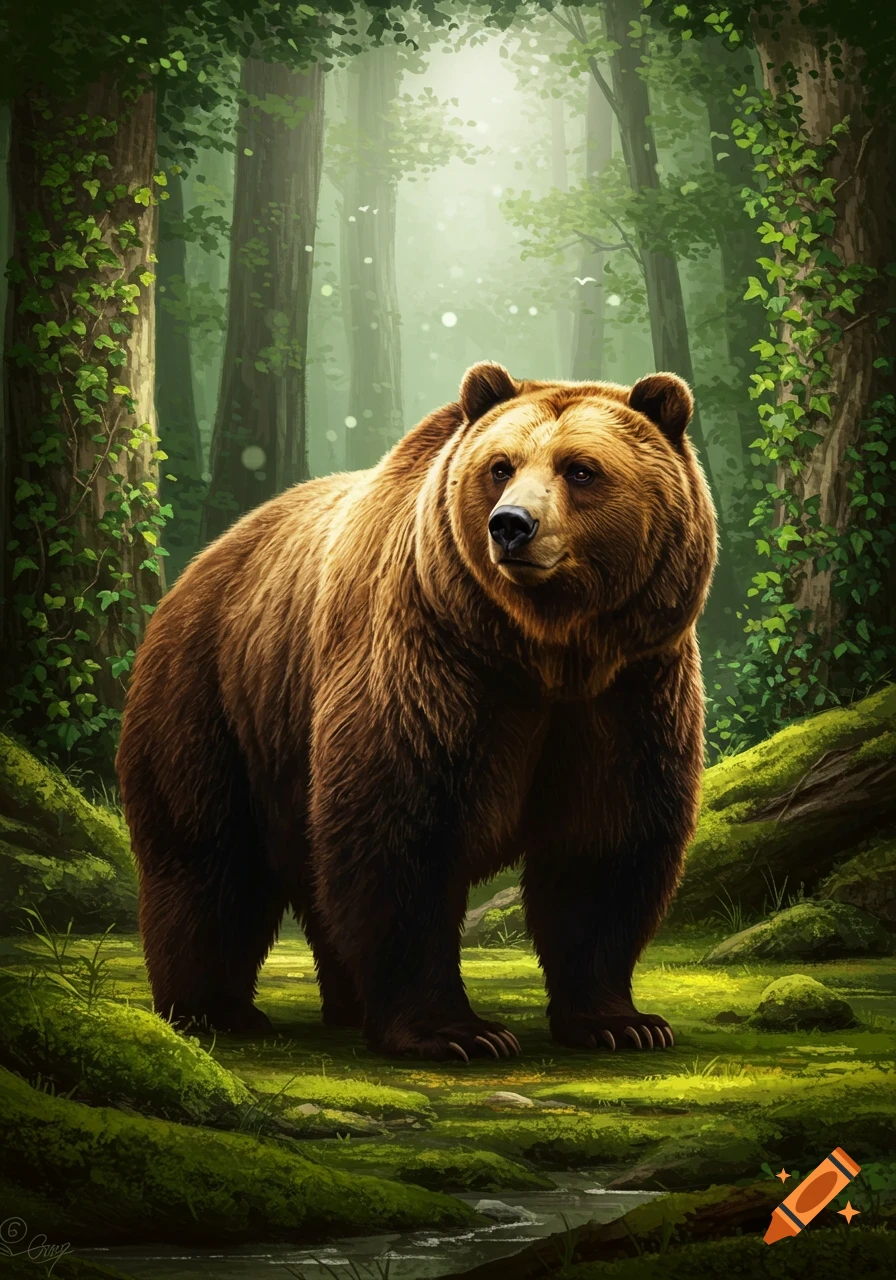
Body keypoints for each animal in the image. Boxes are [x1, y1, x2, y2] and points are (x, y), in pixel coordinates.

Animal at [117, 362, 716, 1060]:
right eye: (500, 466)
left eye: (581, 469)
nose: (511, 525)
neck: (545, 651)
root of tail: (198, 564)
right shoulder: (433, 659)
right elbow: (402, 830)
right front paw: (458, 1033)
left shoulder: (630, 686)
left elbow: (606, 840)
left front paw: (623, 1022)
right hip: (216, 698)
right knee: (208, 857)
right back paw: (214, 1010)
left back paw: (343, 1006)